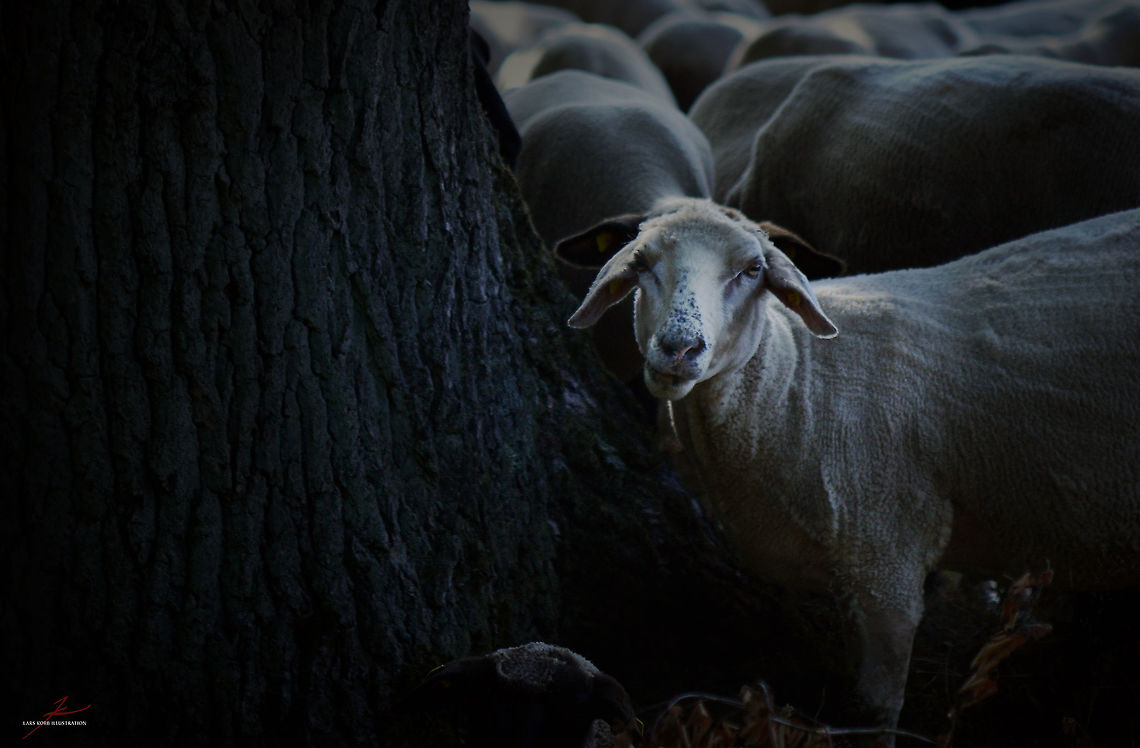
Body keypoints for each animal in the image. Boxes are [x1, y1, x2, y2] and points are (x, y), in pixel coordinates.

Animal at [566, 197, 1140, 742]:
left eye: (752, 269)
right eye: (640, 262)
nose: (680, 347)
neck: (796, 384)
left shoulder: (884, 559)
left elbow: (873, 710)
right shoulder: (845, 582)